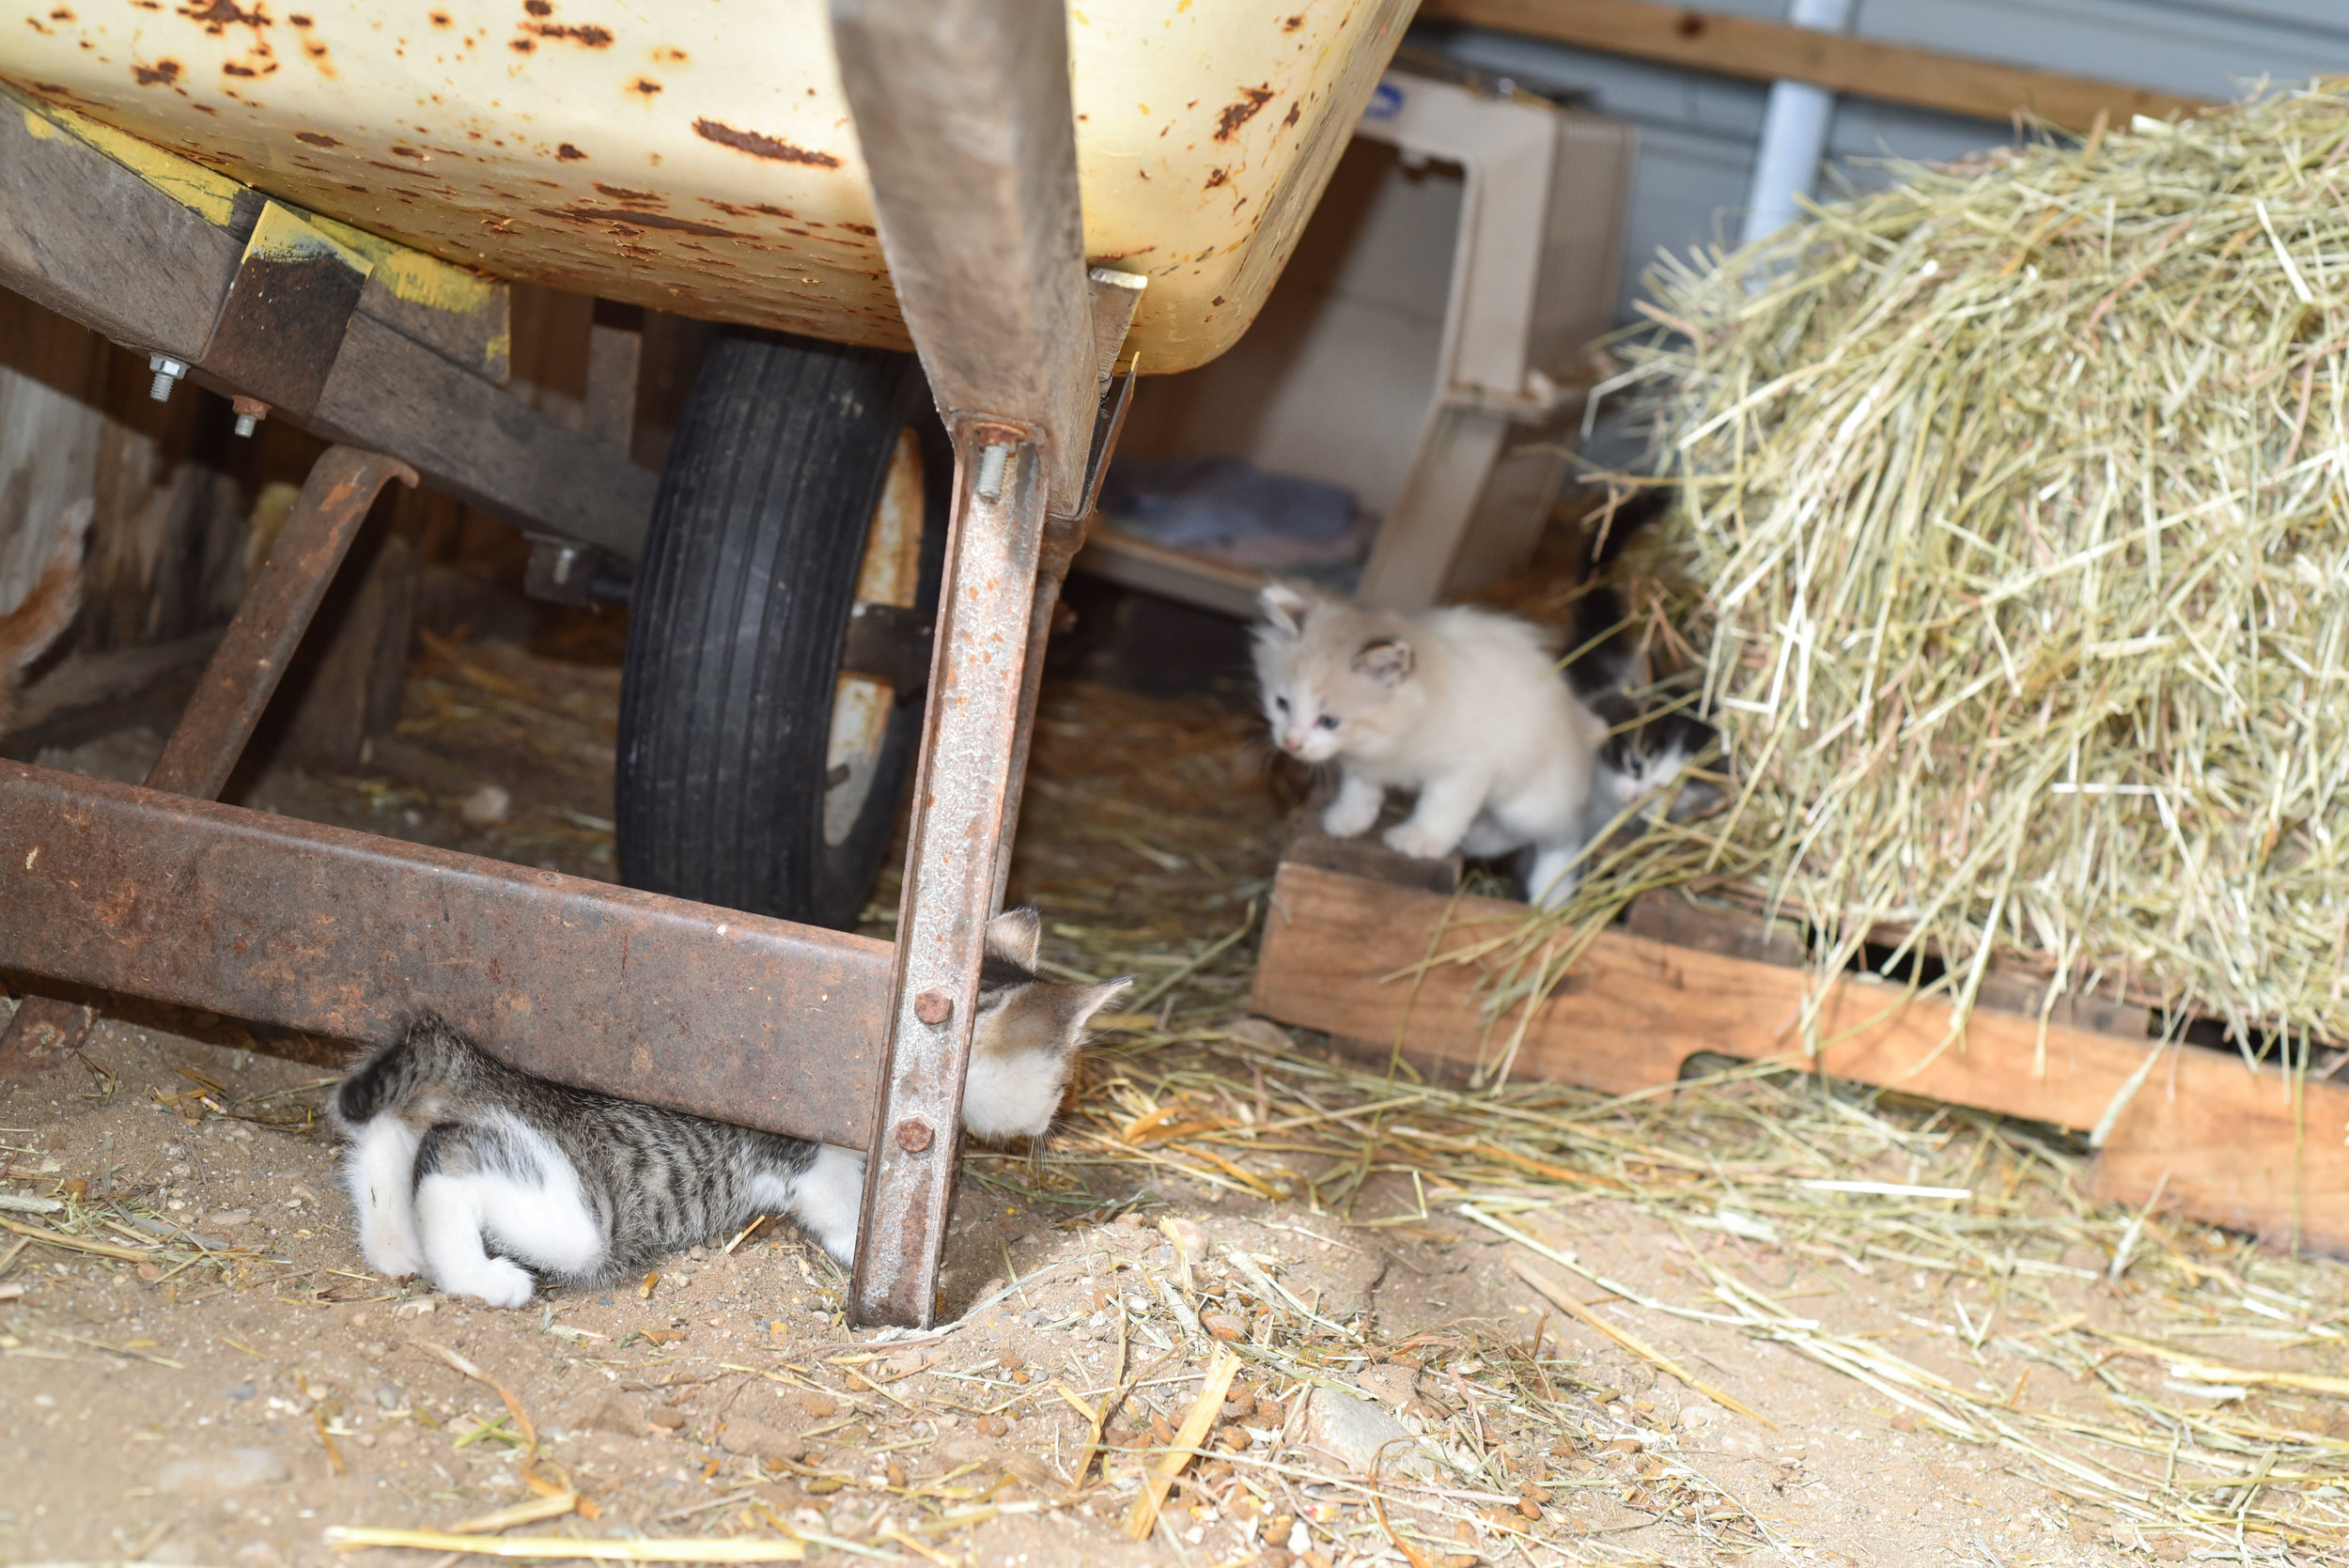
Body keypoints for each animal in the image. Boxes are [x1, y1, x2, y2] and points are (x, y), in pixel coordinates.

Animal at [335, 906, 1132, 1314]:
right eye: (1060, 1080)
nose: (1053, 1122)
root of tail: (491, 1071)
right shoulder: (802, 1154)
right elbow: (840, 1205)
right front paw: (878, 1258)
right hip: (576, 1213)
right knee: (447, 1167)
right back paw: (481, 1277)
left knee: (391, 1134)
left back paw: (395, 1248)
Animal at [1250, 584, 1616, 906]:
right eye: (1282, 704)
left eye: (1328, 721)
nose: (1290, 743)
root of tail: (1583, 724)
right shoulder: (1366, 762)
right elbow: (1360, 789)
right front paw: (1349, 819)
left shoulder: (1466, 768)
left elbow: (1442, 806)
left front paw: (1419, 840)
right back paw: (1476, 841)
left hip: (1530, 805)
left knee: (1562, 840)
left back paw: (1551, 897)